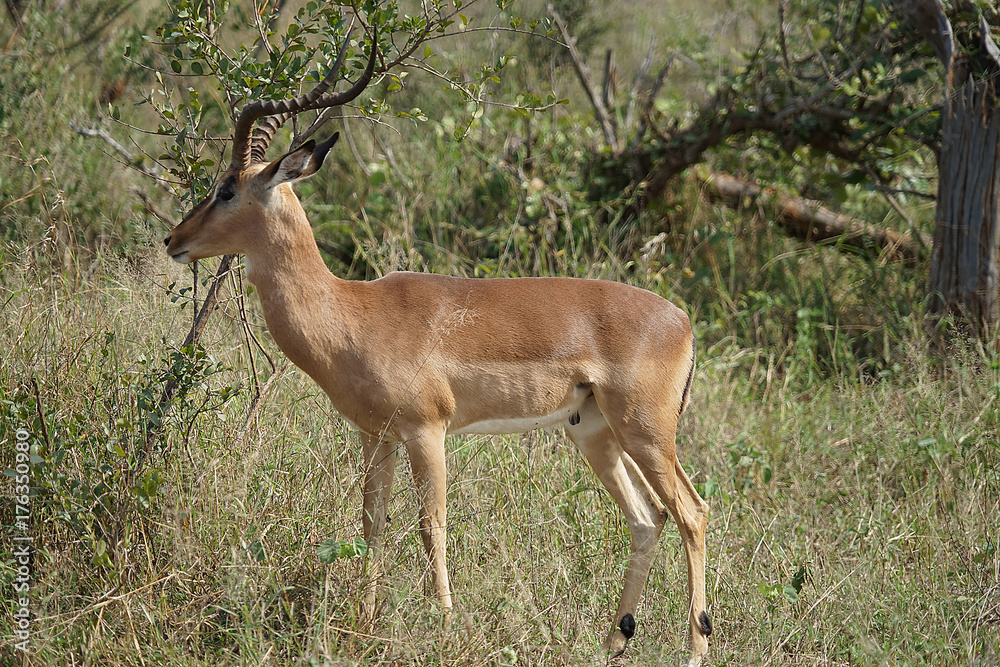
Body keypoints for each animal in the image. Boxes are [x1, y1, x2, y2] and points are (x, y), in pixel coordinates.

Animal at [163, 28, 712, 665]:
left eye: (226, 188)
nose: (174, 239)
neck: (353, 312)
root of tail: (683, 320)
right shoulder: (376, 437)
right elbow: (373, 524)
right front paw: (363, 626)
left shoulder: (428, 431)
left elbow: (432, 525)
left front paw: (445, 627)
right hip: (594, 431)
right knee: (648, 518)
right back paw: (612, 640)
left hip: (645, 431)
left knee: (692, 513)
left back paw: (693, 649)